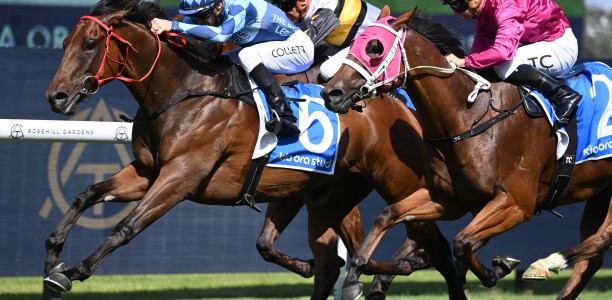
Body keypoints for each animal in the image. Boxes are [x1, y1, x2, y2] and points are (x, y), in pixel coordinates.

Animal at [44, 1, 464, 298]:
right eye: (63, 43)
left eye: (91, 44)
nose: (56, 97)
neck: (184, 92)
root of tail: (398, 104)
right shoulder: (147, 172)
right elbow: (87, 194)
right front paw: (52, 256)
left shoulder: (181, 176)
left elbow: (126, 227)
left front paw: (75, 271)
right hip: (326, 194)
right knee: (331, 262)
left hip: (400, 183)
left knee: (436, 249)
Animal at [322, 9, 608, 300]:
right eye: (353, 44)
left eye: (375, 48)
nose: (331, 93)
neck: (468, 116)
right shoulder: (447, 200)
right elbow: (387, 216)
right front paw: (355, 277)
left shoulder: (517, 203)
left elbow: (462, 242)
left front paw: (498, 269)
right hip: (599, 194)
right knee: (592, 257)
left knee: (601, 240)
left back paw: (546, 263)